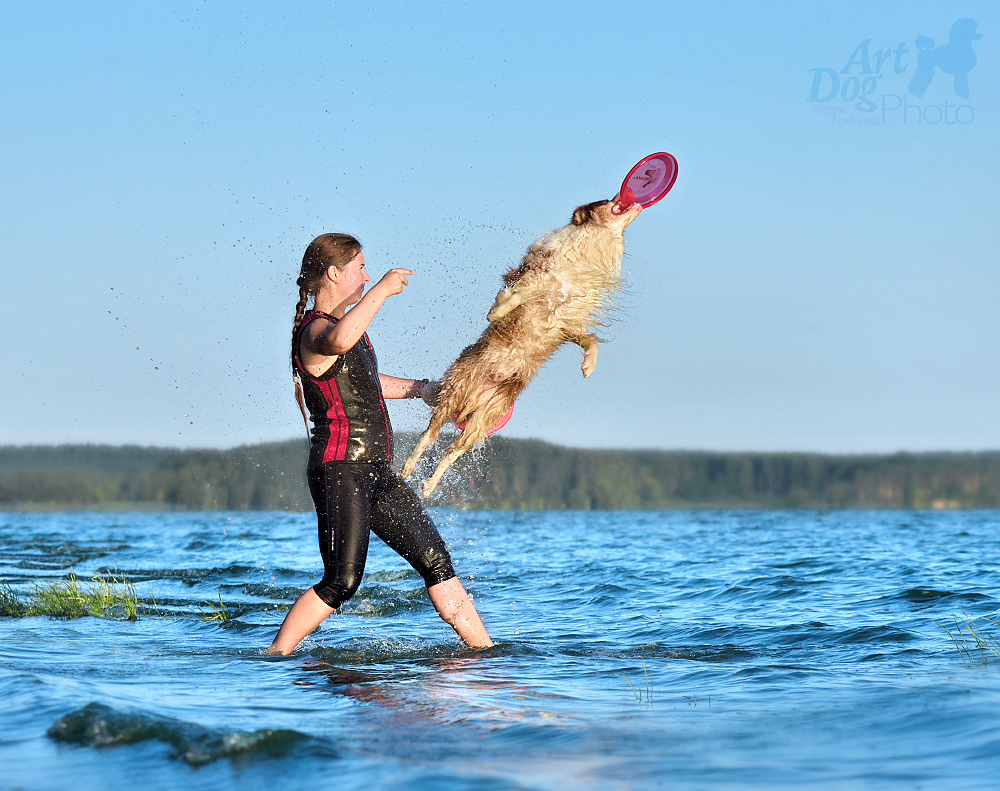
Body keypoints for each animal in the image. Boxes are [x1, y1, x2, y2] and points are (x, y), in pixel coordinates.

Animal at [398, 198, 640, 496]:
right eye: (607, 201)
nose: (628, 198)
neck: (587, 251)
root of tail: (476, 394)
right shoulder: (538, 275)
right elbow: (521, 293)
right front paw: (498, 309)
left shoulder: (568, 323)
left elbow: (590, 341)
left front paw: (588, 366)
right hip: (455, 392)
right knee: (428, 435)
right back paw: (408, 467)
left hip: (486, 415)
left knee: (453, 449)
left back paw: (430, 484)